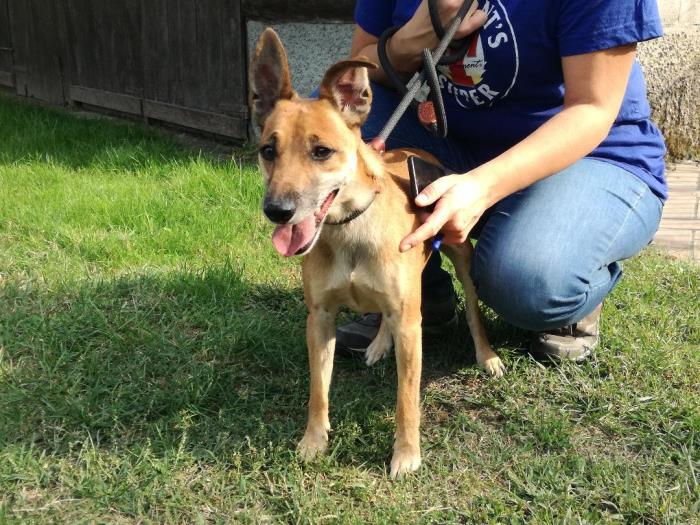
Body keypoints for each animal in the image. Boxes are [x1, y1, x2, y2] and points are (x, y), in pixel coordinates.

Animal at [249, 28, 504, 478]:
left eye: (321, 151)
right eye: (268, 150)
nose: (277, 211)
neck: (350, 228)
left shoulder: (410, 325)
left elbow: (406, 399)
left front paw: (406, 454)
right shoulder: (320, 317)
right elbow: (318, 389)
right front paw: (313, 441)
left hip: (462, 256)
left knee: (474, 312)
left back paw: (486, 355)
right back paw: (379, 343)